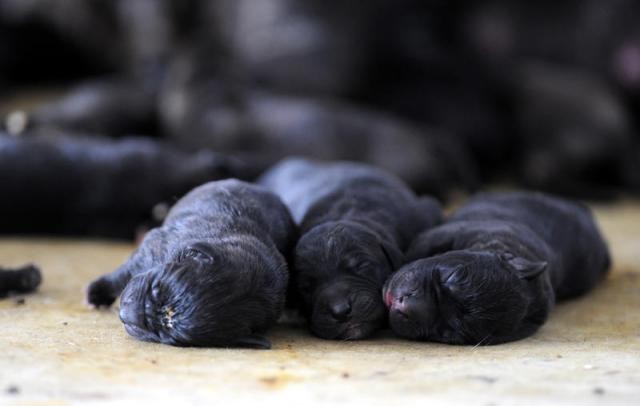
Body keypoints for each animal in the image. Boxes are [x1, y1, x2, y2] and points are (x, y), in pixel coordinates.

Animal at [86, 179, 294, 348]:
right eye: (155, 289)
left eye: (169, 336)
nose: (127, 314)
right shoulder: (153, 247)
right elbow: (123, 274)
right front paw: (96, 293)